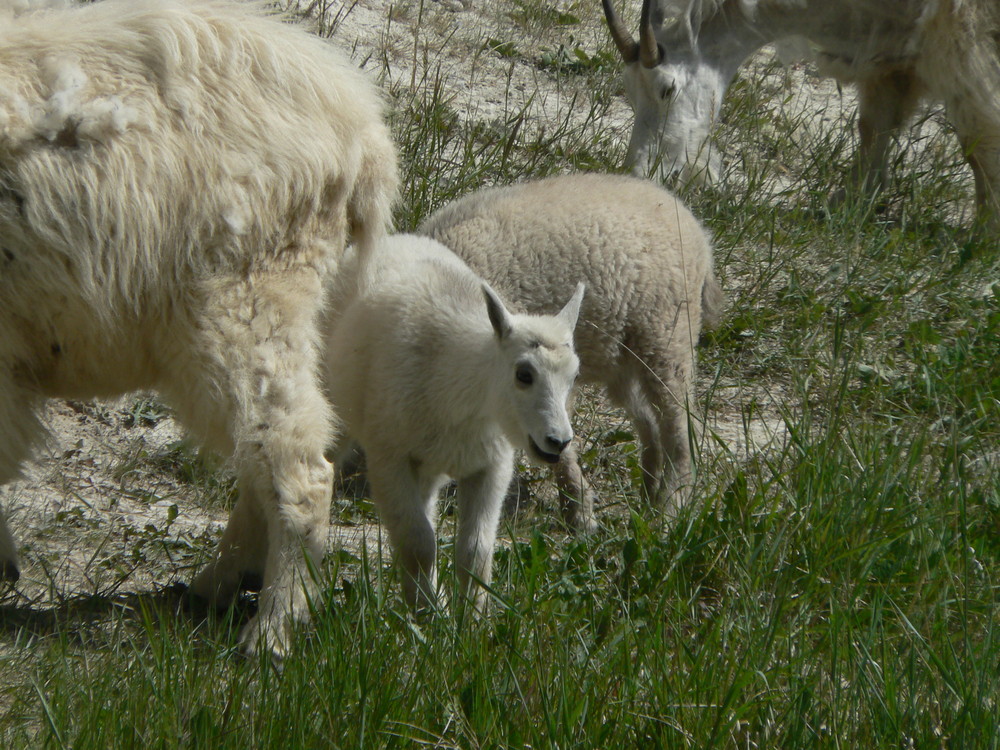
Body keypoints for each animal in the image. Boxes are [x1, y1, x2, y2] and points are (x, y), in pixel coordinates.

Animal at [324, 236, 584, 616]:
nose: (559, 441)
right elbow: (418, 543)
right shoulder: (388, 458)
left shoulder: (490, 466)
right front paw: (425, 617)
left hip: (428, 464)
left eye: (574, 375)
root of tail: (395, 238)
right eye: (524, 374)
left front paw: (468, 618)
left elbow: (475, 551)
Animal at [418, 173, 724, 536]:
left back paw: (669, 512)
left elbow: (560, 445)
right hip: (622, 359)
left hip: (667, 336)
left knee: (681, 429)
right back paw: (647, 500)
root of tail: (699, 231)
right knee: (650, 424)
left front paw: (580, 517)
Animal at [600, 0, 1000, 226]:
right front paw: (853, 203)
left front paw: (984, 235)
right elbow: (873, 125)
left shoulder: (966, 39)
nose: (641, 174)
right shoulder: (893, 50)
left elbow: (979, 138)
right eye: (630, 92)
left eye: (667, 88)